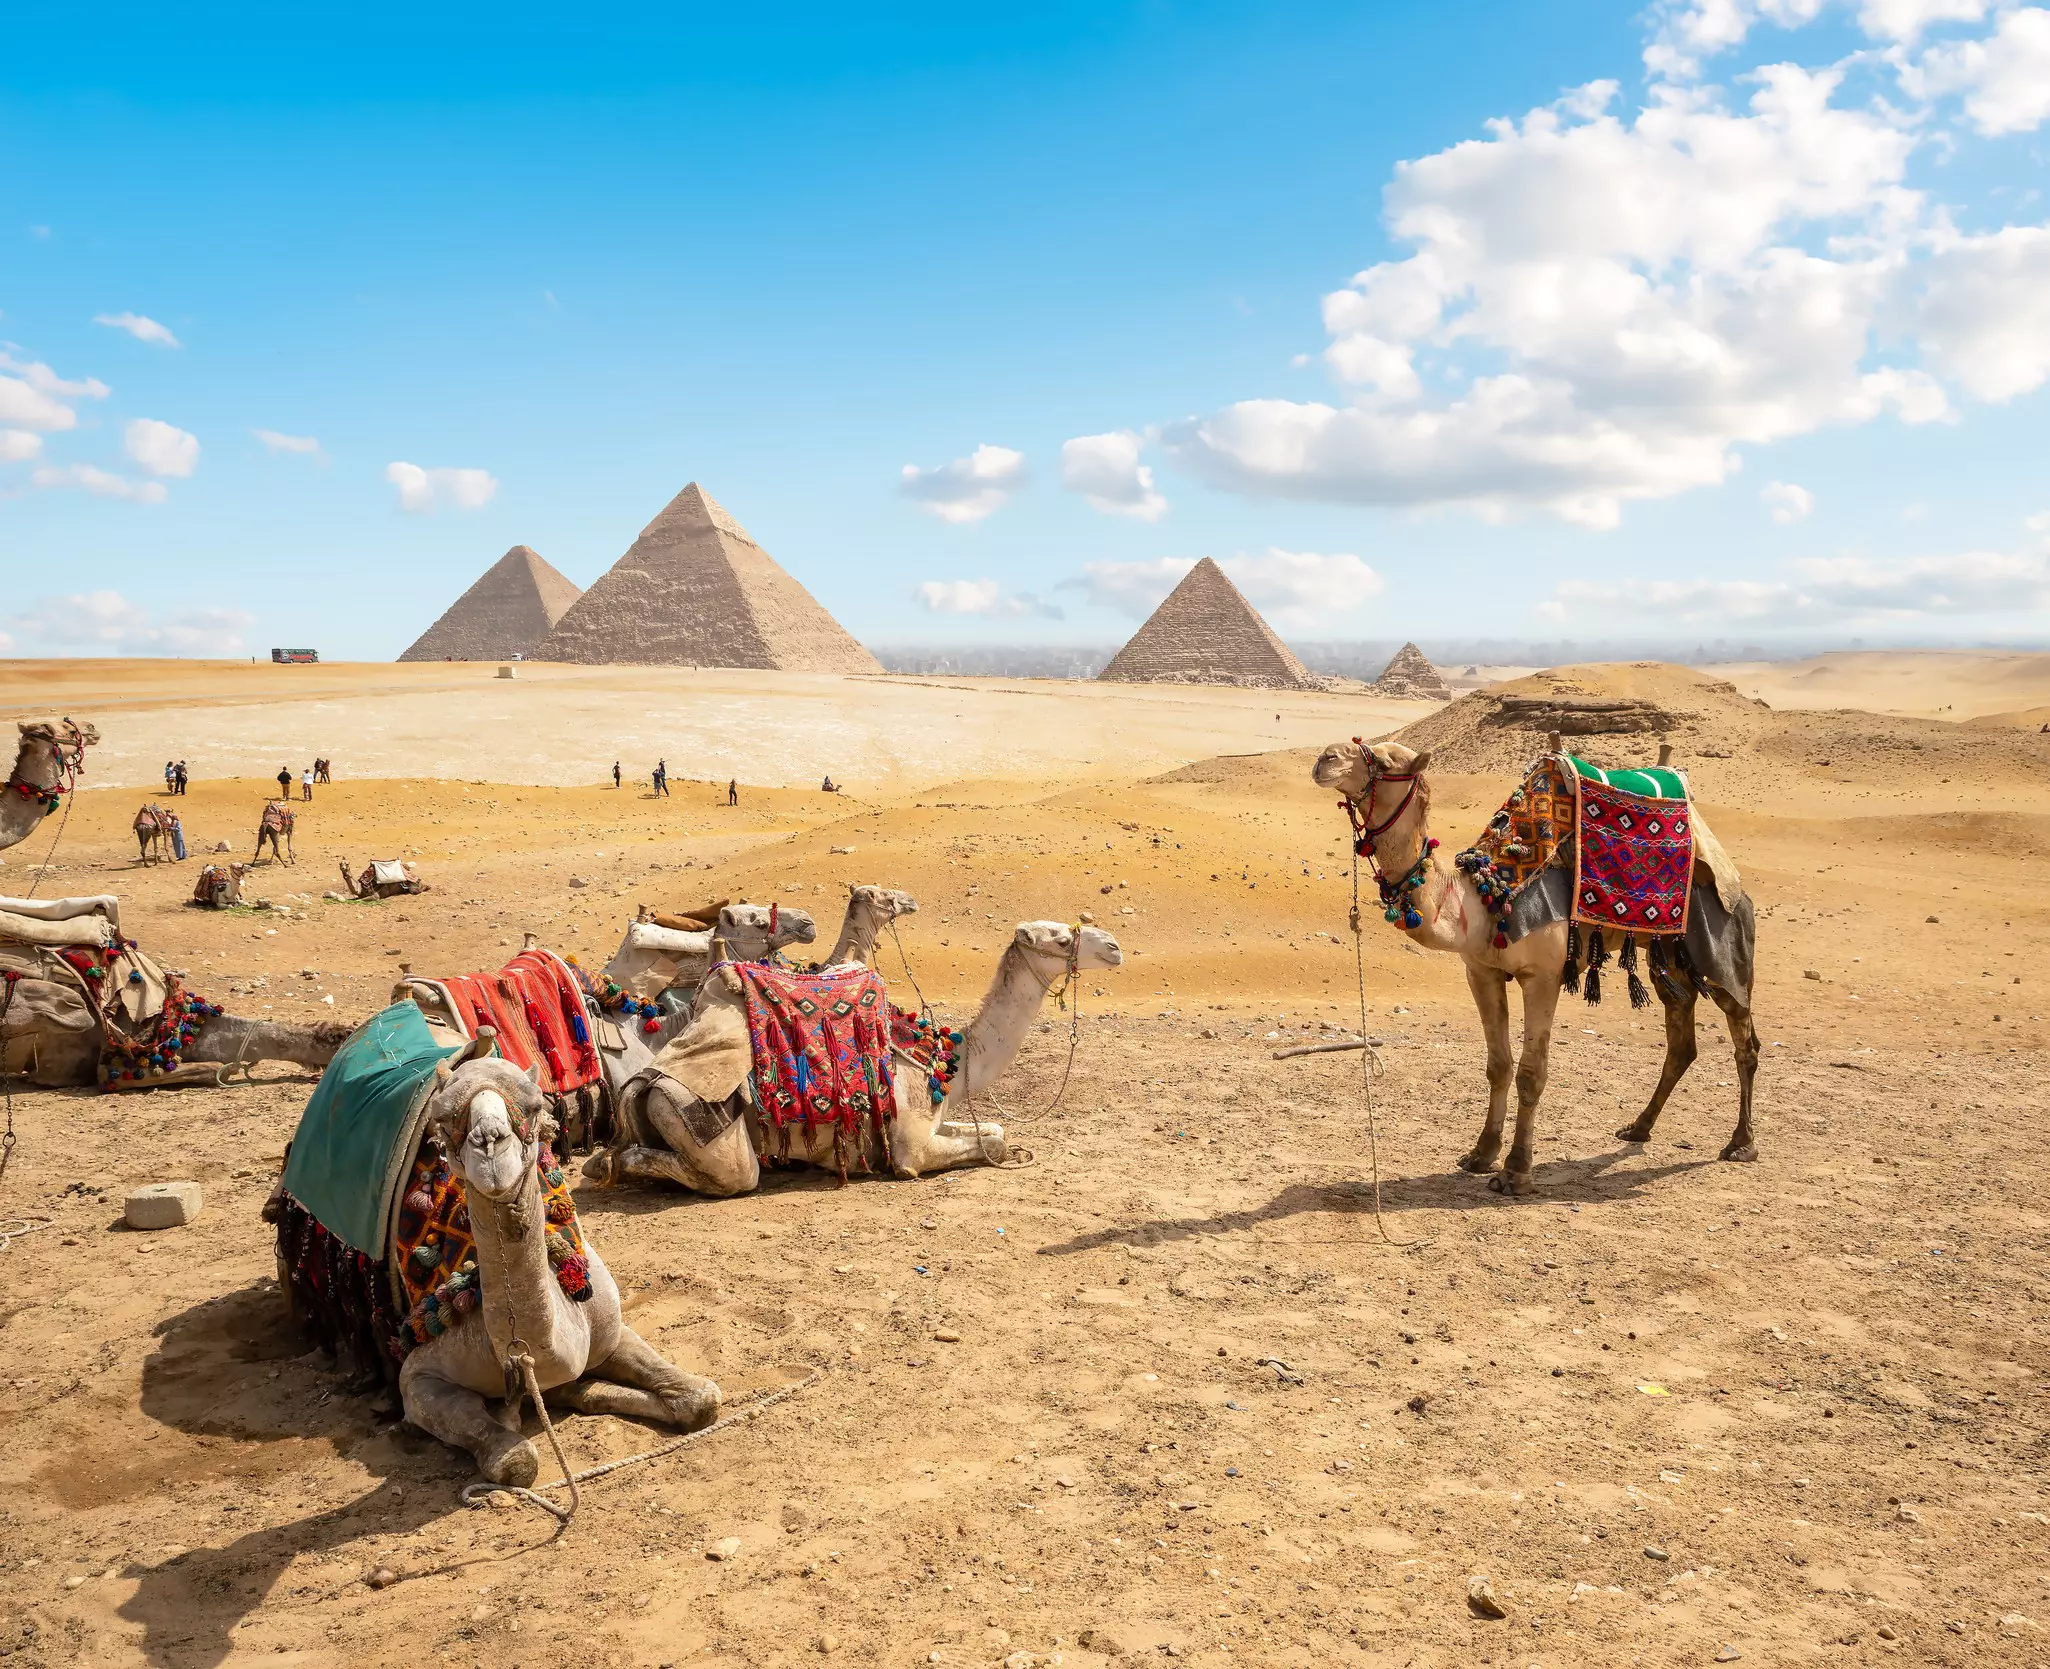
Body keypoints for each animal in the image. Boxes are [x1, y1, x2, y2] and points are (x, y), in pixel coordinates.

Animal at [590, 920, 1123, 1196]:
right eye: (1060, 938)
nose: (1115, 947)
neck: (950, 1061)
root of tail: (644, 1082)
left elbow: (996, 1129)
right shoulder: (912, 1145)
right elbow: (987, 1144)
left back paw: (601, 1162)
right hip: (701, 1122)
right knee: (727, 1172)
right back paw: (611, 1165)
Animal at [1311, 739, 1759, 1197]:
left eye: (1384, 761)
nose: (1325, 757)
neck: (1484, 899)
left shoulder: (1543, 977)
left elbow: (1531, 1072)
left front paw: (1516, 1171)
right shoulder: (1481, 972)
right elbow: (1498, 1066)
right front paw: (1480, 1155)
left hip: (1720, 940)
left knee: (1744, 1035)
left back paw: (1741, 1144)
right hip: (1668, 954)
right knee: (1681, 1037)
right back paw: (1638, 1128)